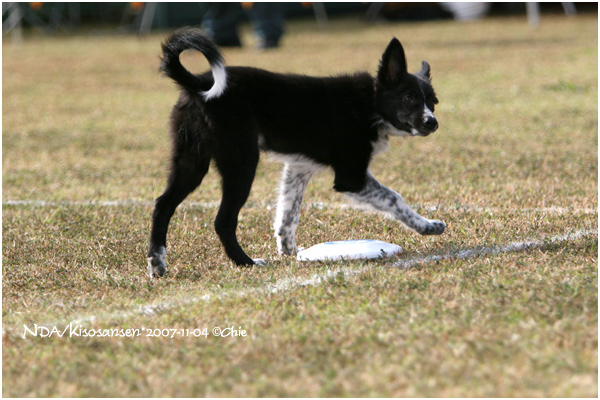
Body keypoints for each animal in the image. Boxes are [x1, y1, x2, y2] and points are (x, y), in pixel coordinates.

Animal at [147, 28, 442, 276]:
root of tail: (198, 83)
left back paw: (157, 264)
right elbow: (394, 198)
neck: (370, 103)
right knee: (223, 220)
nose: (433, 123)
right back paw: (246, 262)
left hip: (191, 160)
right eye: (409, 98)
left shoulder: (299, 168)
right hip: (241, 162)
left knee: (163, 205)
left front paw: (290, 252)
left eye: (433, 102)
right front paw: (427, 226)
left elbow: (288, 215)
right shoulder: (351, 177)